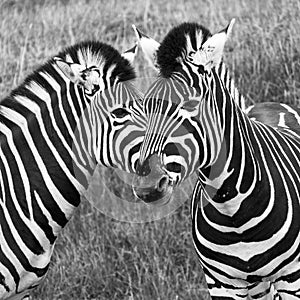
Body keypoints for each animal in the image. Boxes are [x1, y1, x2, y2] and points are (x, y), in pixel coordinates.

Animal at [133, 19, 300, 298]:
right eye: (147, 107)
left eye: (191, 105)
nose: (147, 186)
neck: (233, 211)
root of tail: (269, 104)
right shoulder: (221, 284)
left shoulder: (293, 277)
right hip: (258, 285)